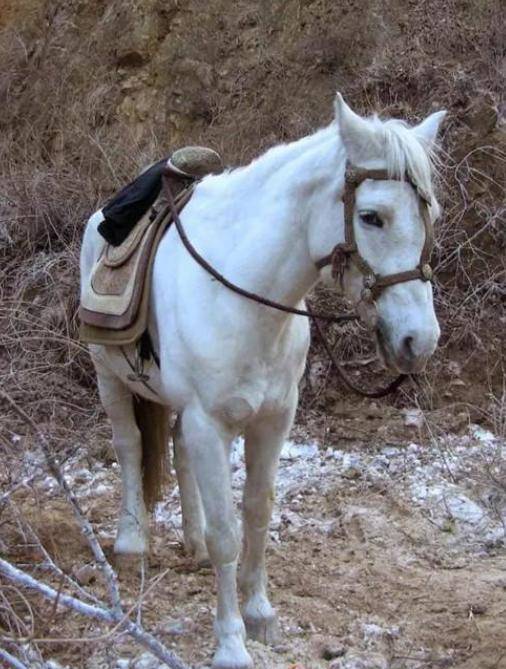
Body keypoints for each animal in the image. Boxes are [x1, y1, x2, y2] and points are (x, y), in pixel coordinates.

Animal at [80, 93, 446, 669]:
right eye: (372, 217)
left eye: (430, 214)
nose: (420, 340)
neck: (243, 292)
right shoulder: (210, 423)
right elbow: (228, 533)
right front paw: (230, 642)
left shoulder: (273, 420)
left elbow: (256, 513)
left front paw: (260, 614)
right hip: (108, 376)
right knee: (130, 446)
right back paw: (131, 543)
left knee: (177, 451)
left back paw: (191, 543)